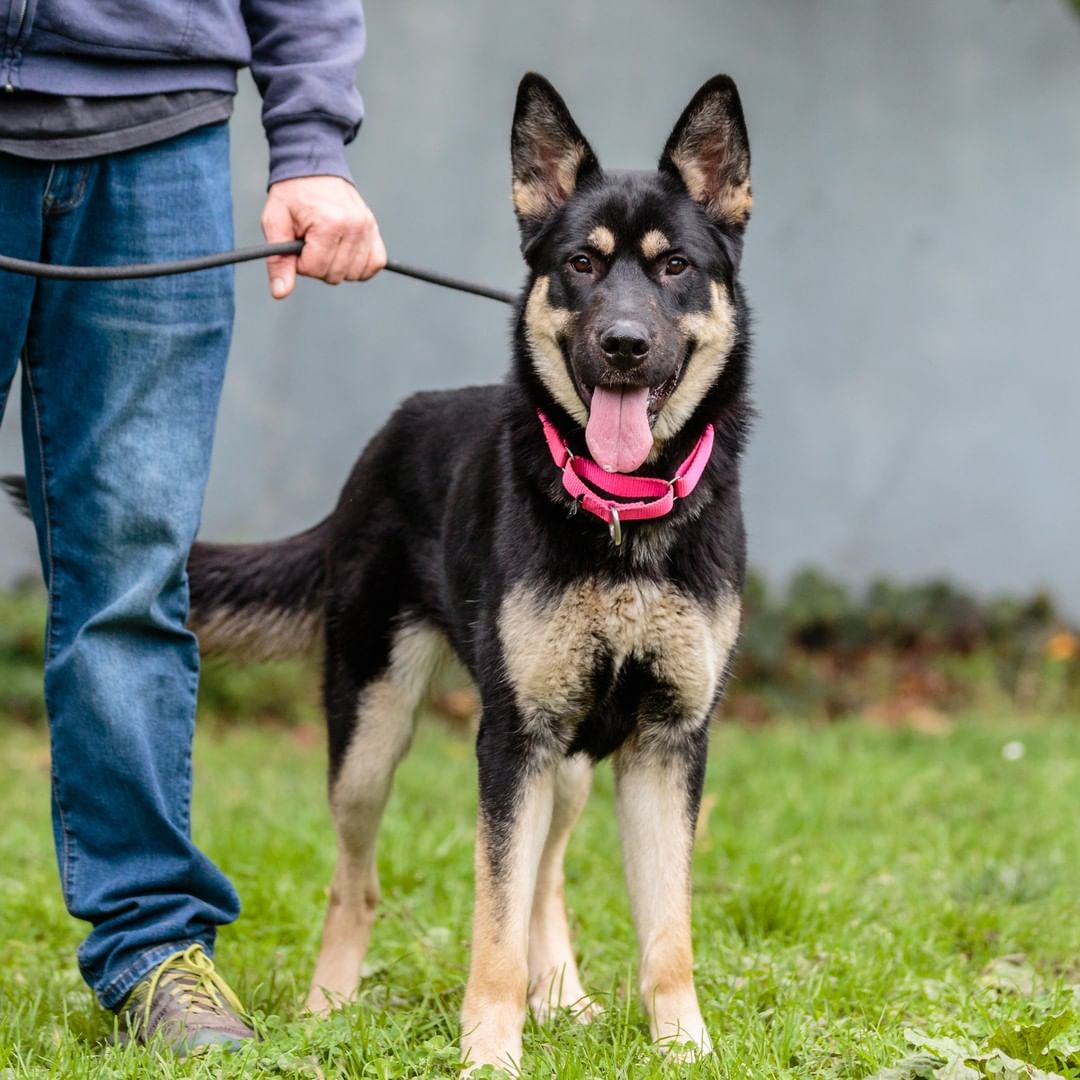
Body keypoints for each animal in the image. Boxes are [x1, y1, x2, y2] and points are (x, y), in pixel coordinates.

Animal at [12, 71, 756, 1075]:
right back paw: (330, 1007)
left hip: (560, 759)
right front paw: (490, 1049)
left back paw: (561, 995)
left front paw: (682, 1046)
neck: (623, 515)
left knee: (548, 876)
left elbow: (666, 928)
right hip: (371, 734)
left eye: (674, 266)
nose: (626, 345)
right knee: (359, 882)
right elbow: (493, 921)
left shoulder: (666, 744)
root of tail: (380, 445)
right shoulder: (509, 743)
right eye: (583, 265)